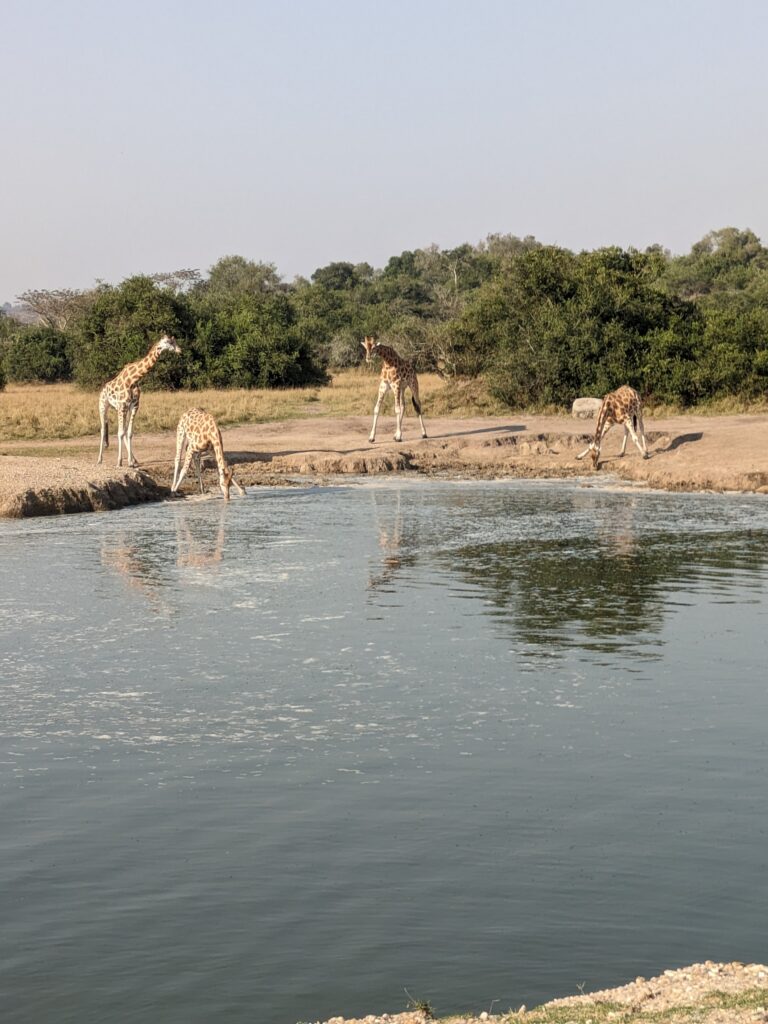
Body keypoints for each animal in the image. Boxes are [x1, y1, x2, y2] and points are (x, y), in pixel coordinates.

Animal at [97, 331, 182, 468]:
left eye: (175, 341)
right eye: (168, 342)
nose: (180, 350)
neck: (133, 380)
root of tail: (103, 388)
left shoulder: (134, 406)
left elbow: (129, 433)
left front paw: (130, 462)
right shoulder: (122, 406)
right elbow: (120, 433)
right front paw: (119, 462)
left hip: (120, 409)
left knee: (123, 430)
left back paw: (134, 460)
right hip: (103, 405)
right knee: (103, 429)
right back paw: (99, 459)